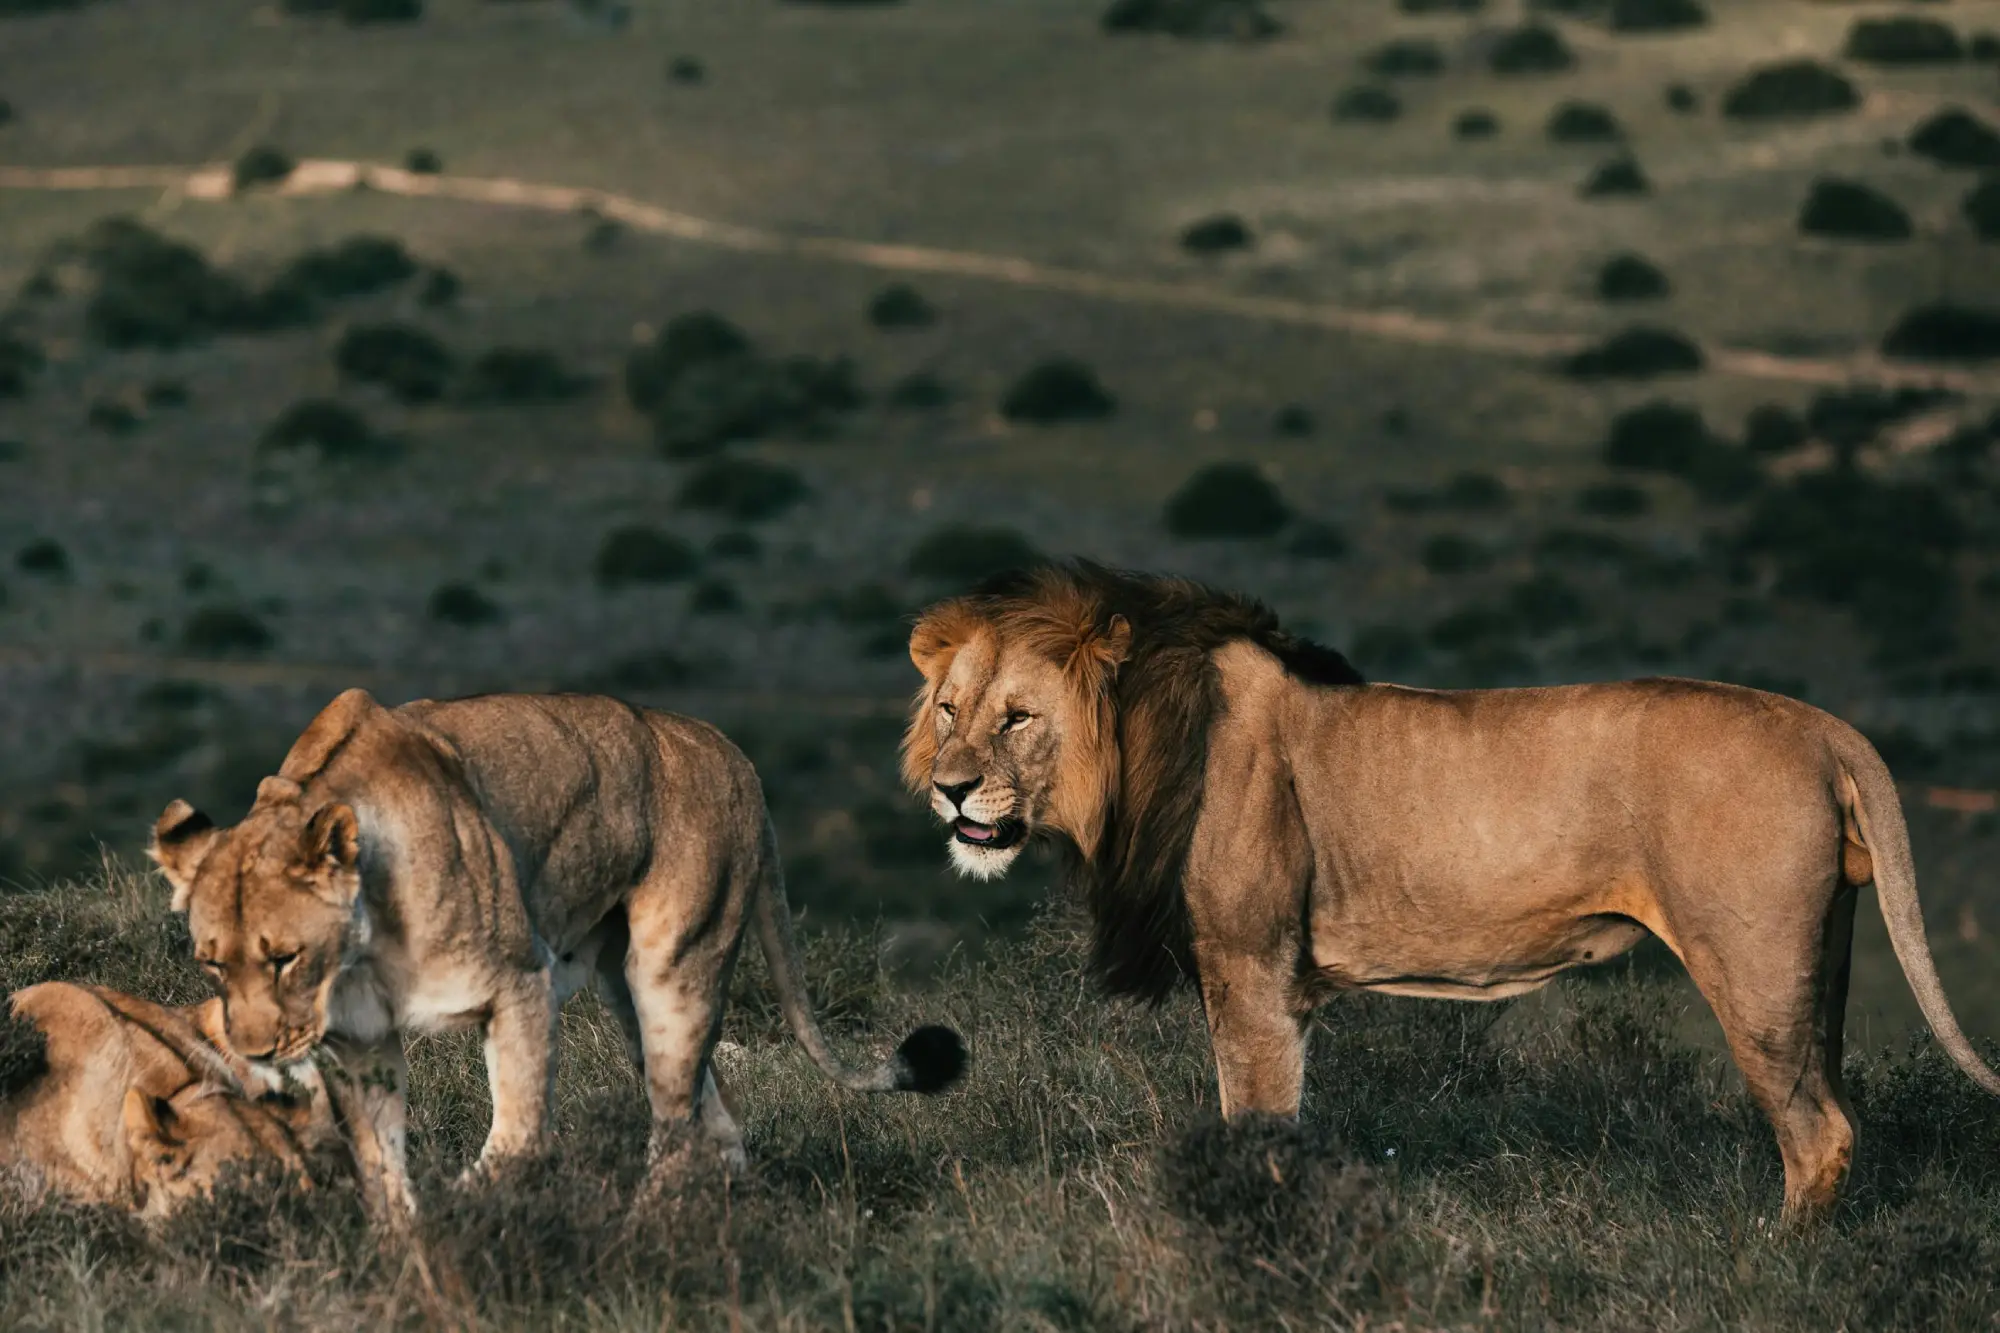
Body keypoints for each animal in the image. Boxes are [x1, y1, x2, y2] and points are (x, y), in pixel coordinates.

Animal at [148, 684, 968, 1216]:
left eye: (283, 957)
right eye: (212, 963)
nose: (254, 1050)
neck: (361, 944)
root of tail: (735, 756)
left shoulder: (521, 985)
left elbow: (517, 1138)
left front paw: (467, 1209)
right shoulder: (361, 1044)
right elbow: (381, 1169)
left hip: (673, 967)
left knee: (674, 1124)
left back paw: (648, 1230)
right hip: (627, 993)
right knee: (715, 1113)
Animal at [908, 560, 2000, 1216]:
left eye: (1016, 717)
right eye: (950, 708)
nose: (948, 788)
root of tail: (1825, 725)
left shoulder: (1252, 970)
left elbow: (1256, 1120)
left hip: (1753, 966)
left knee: (1818, 1132)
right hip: (1823, 961)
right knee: (1836, 1111)